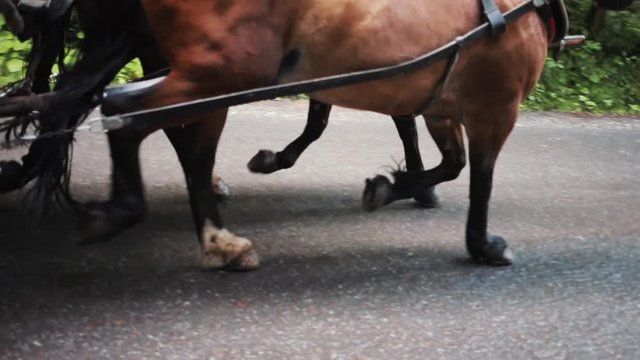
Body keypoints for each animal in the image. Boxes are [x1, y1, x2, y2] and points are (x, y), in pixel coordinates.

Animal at [94, 0, 556, 268]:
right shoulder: (495, 109)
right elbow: (480, 181)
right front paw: (483, 246)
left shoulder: (438, 103)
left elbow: (451, 162)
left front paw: (390, 187)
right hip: (221, 75)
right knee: (127, 114)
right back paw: (131, 214)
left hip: (213, 79)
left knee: (177, 142)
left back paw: (218, 244)